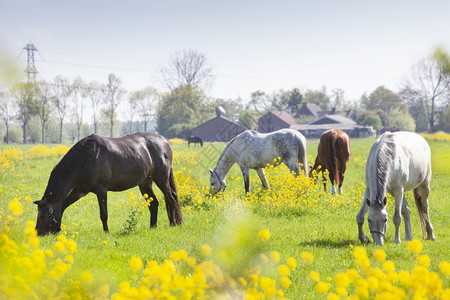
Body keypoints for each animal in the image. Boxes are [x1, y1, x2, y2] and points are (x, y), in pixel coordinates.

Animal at [33, 132, 185, 236]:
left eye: (42, 215)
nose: (38, 233)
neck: (86, 158)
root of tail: (164, 141)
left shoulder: (101, 190)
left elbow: (103, 214)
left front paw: (106, 232)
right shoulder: (80, 190)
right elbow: (63, 206)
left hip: (161, 179)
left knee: (171, 198)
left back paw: (174, 224)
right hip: (145, 183)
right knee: (154, 204)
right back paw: (152, 227)